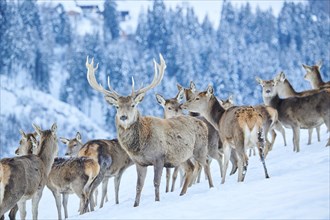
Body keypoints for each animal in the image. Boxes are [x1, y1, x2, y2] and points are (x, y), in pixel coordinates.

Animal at [86, 54, 213, 207]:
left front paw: (157, 201)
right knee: (190, 168)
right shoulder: (140, 163)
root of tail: (202, 123)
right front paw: (135, 205)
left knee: (206, 164)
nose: (123, 117)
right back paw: (182, 194)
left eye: (133, 105)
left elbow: (156, 182)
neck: (140, 145)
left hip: (200, 148)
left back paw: (212, 187)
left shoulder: (159, 158)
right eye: (117, 106)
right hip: (183, 156)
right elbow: (138, 186)